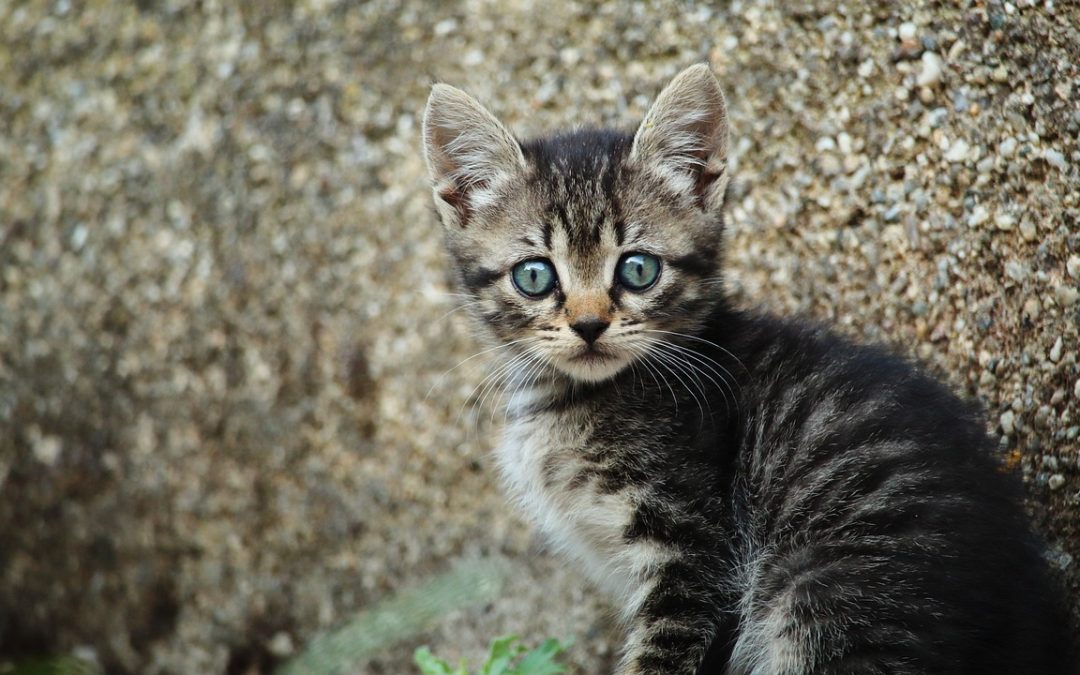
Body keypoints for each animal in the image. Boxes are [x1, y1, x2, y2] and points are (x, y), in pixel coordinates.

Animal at [419, 64, 1071, 673]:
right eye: (534, 275)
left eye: (637, 269)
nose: (588, 324)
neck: (577, 398)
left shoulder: (694, 555)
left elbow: (664, 654)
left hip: (821, 595)